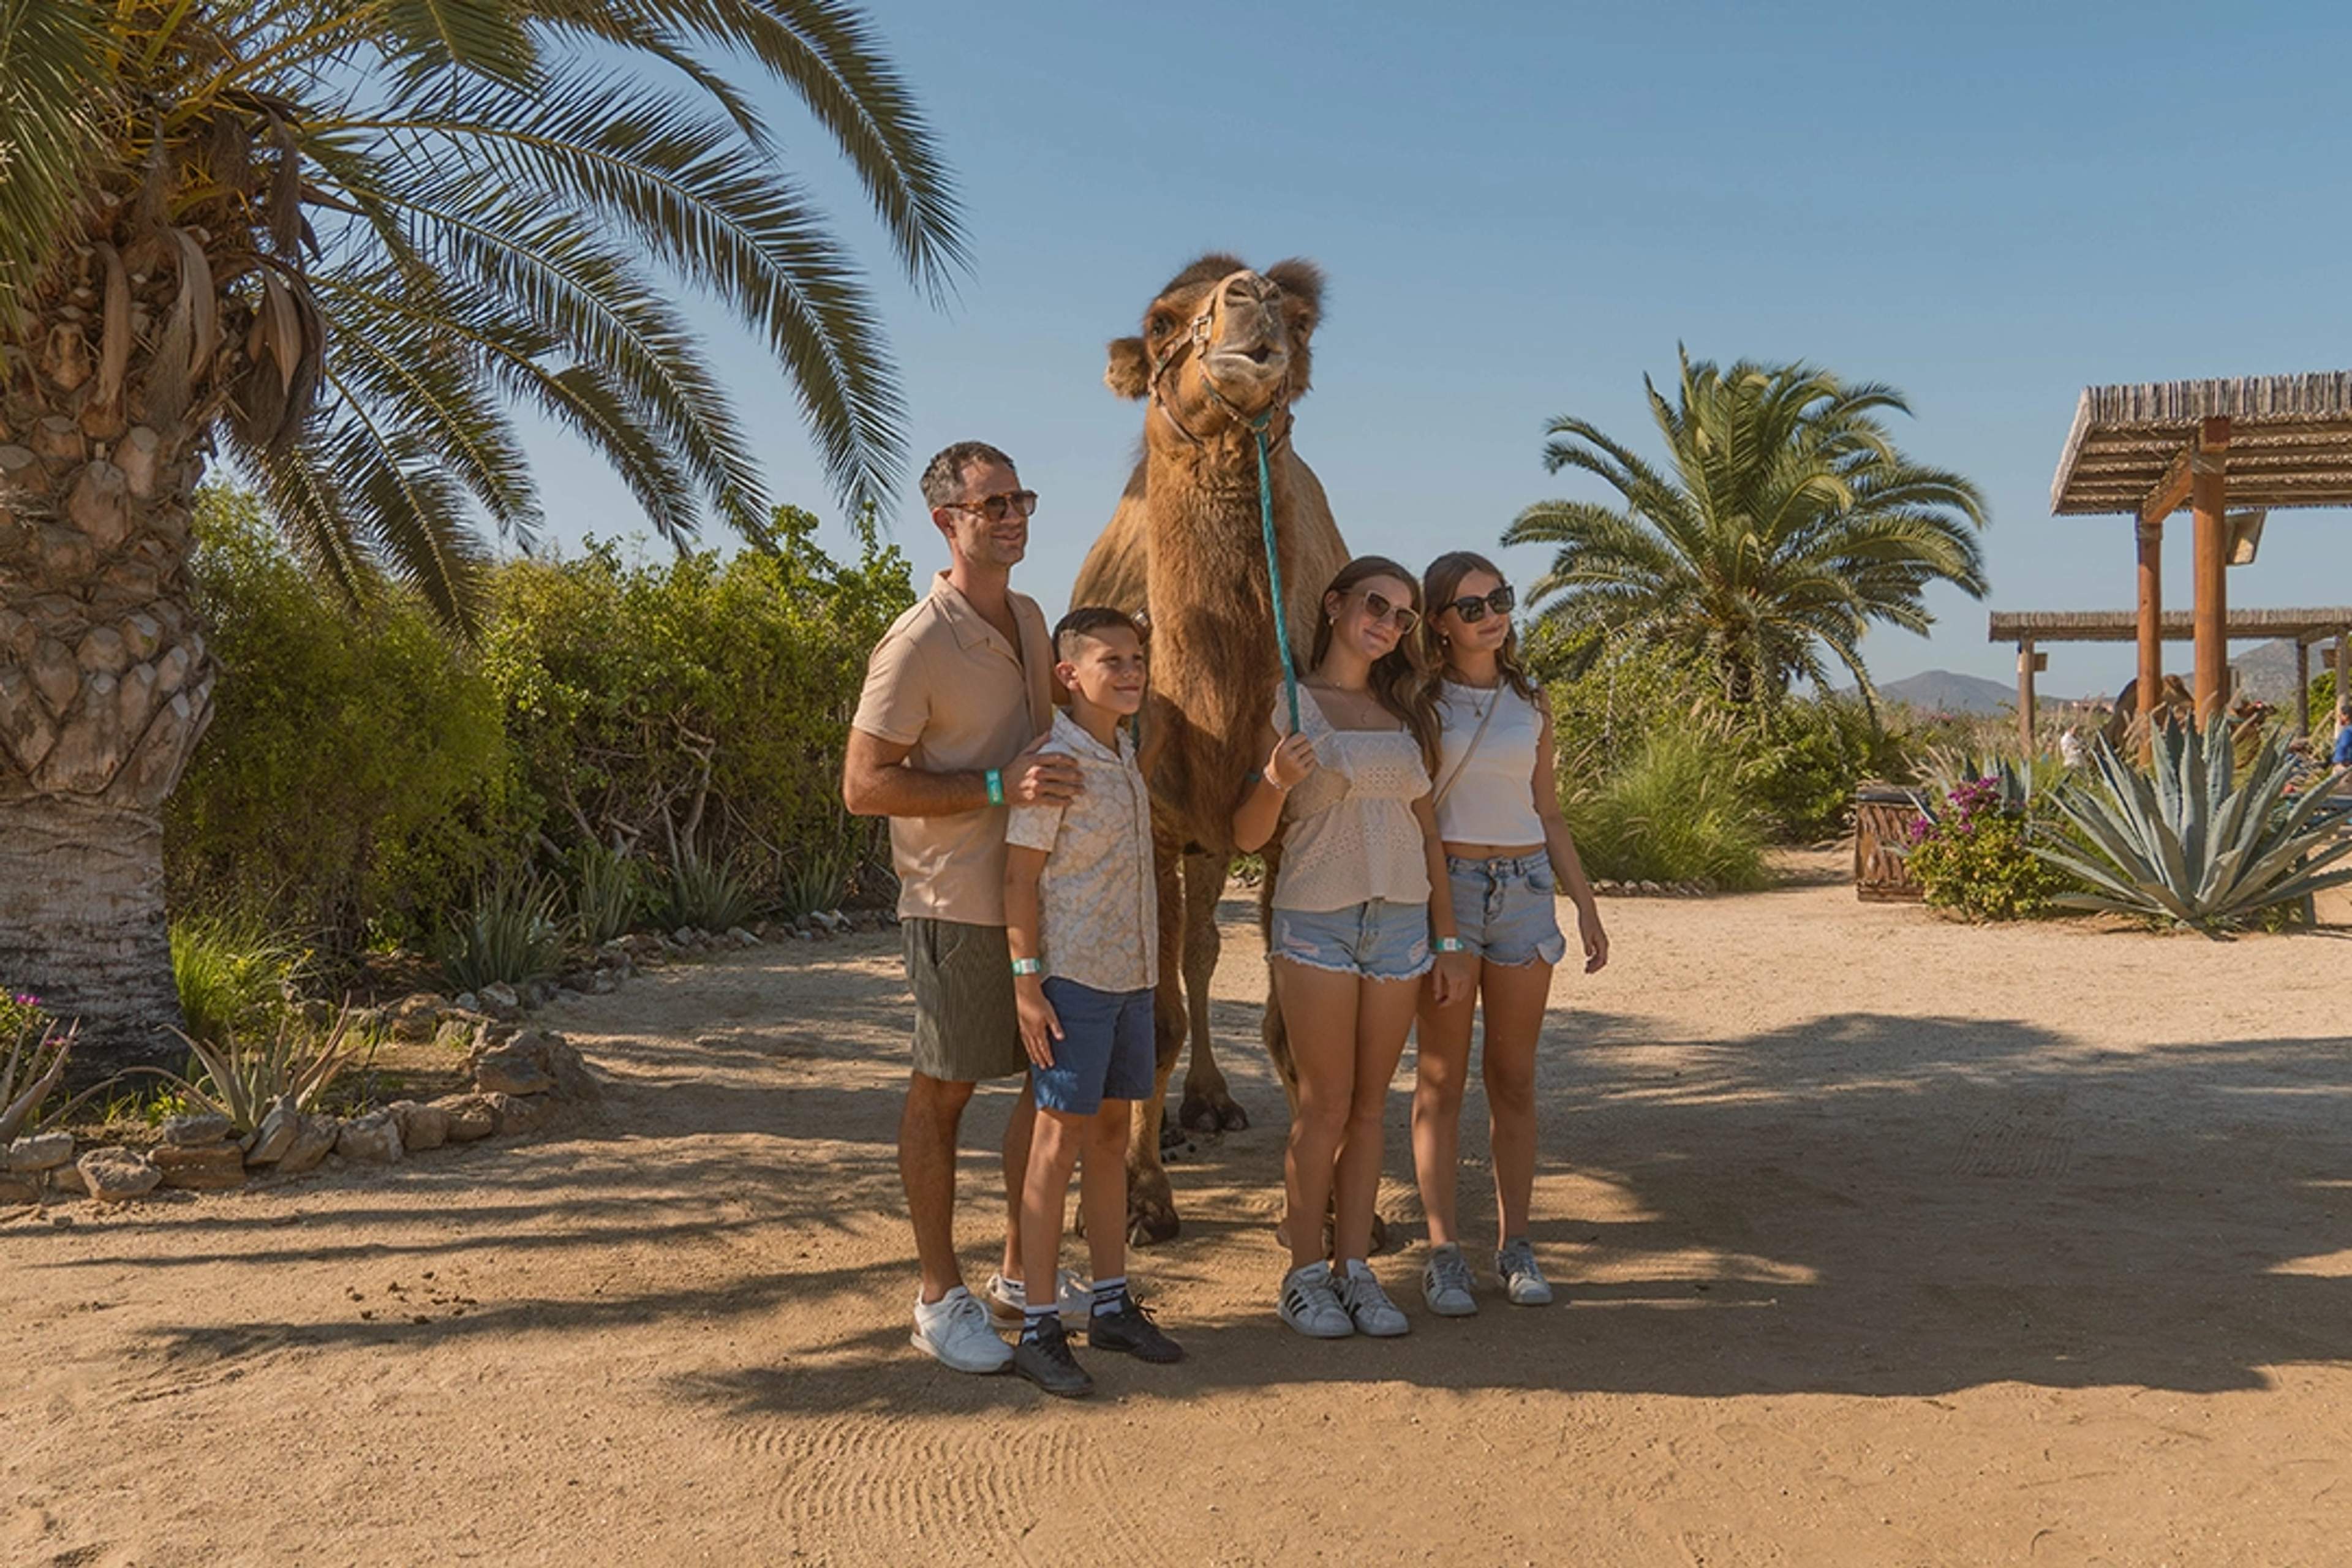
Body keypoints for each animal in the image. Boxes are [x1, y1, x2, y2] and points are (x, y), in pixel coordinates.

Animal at [1069, 254, 1350, 1242]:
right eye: (1161, 320)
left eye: (1298, 322)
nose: (1251, 297)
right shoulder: (1154, 822)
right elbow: (1149, 1022)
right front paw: (1139, 1201)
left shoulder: (1290, 828)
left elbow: (1295, 1027)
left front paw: (1340, 1213)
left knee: (1200, 949)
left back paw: (1211, 1103)